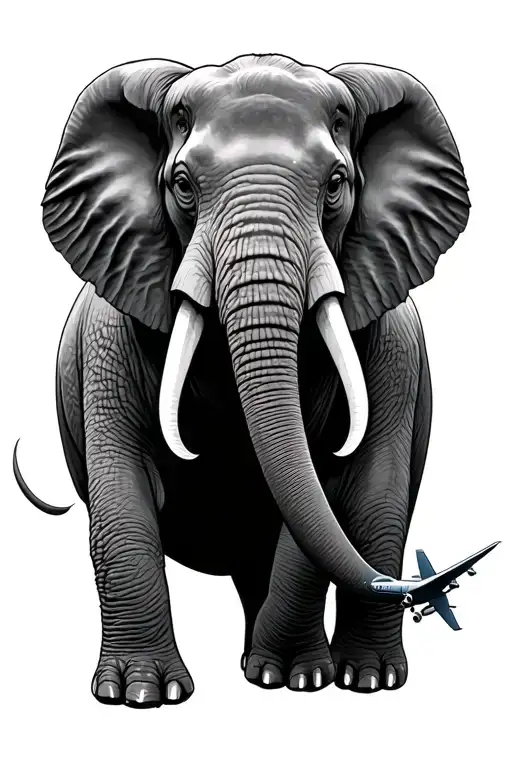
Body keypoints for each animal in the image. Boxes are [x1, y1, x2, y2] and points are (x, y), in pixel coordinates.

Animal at [14, 53, 470, 708]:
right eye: (182, 185)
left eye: (336, 185)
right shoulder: (108, 340)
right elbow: (123, 493)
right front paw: (140, 696)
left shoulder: (383, 354)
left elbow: (331, 488)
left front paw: (297, 680)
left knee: (373, 506)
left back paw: (361, 679)